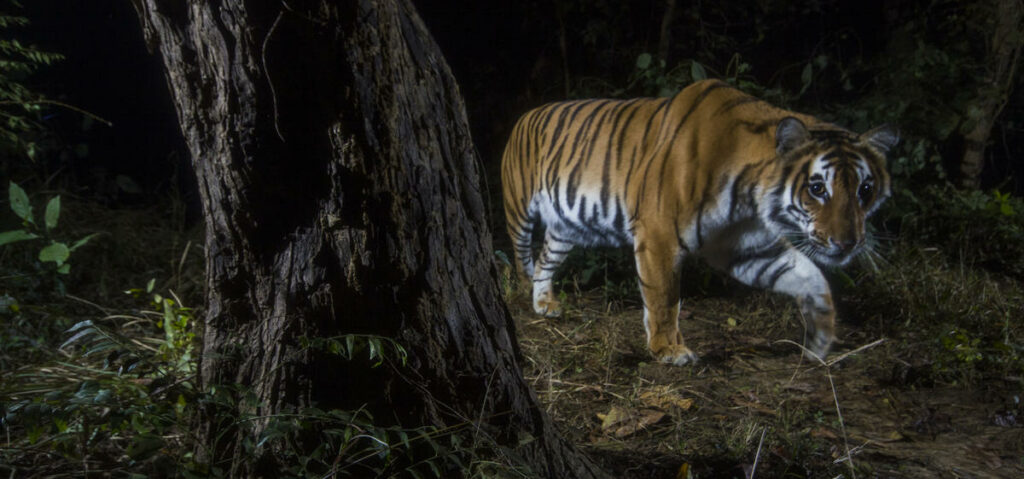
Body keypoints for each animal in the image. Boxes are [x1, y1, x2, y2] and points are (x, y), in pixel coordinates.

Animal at [501, 78, 897, 364]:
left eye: (865, 189)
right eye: (817, 188)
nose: (848, 243)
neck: (750, 195)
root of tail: (524, 115)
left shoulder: (744, 245)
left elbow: (808, 276)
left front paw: (821, 335)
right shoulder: (658, 235)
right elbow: (664, 297)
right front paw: (668, 350)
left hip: (565, 227)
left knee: (545, 259)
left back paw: (544, 304)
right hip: (519, 208)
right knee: (521, 257)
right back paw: (521, 297)